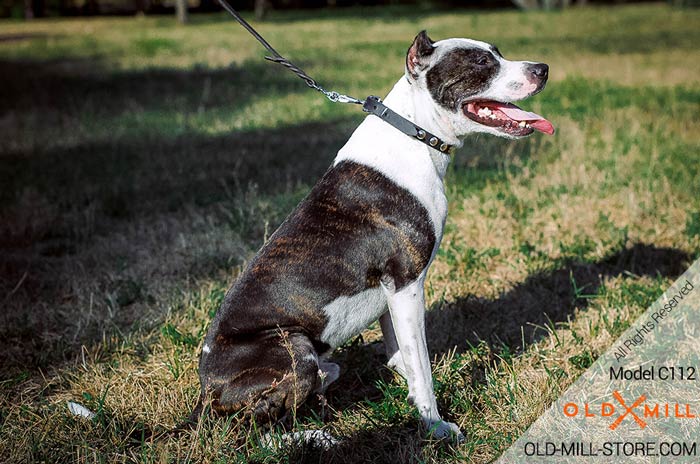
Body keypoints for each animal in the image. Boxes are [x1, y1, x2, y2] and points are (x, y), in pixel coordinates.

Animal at [197, 29, 552, 442]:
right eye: (481, 62)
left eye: (497, 53)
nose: (542, 68)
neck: (415, 132)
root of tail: (206, 393)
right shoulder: (406, 284)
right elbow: (421, 364)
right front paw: (435, 426)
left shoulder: (390, 294)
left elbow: (404, 355)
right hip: (293, 349)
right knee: (255, 429)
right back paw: (313, 437)